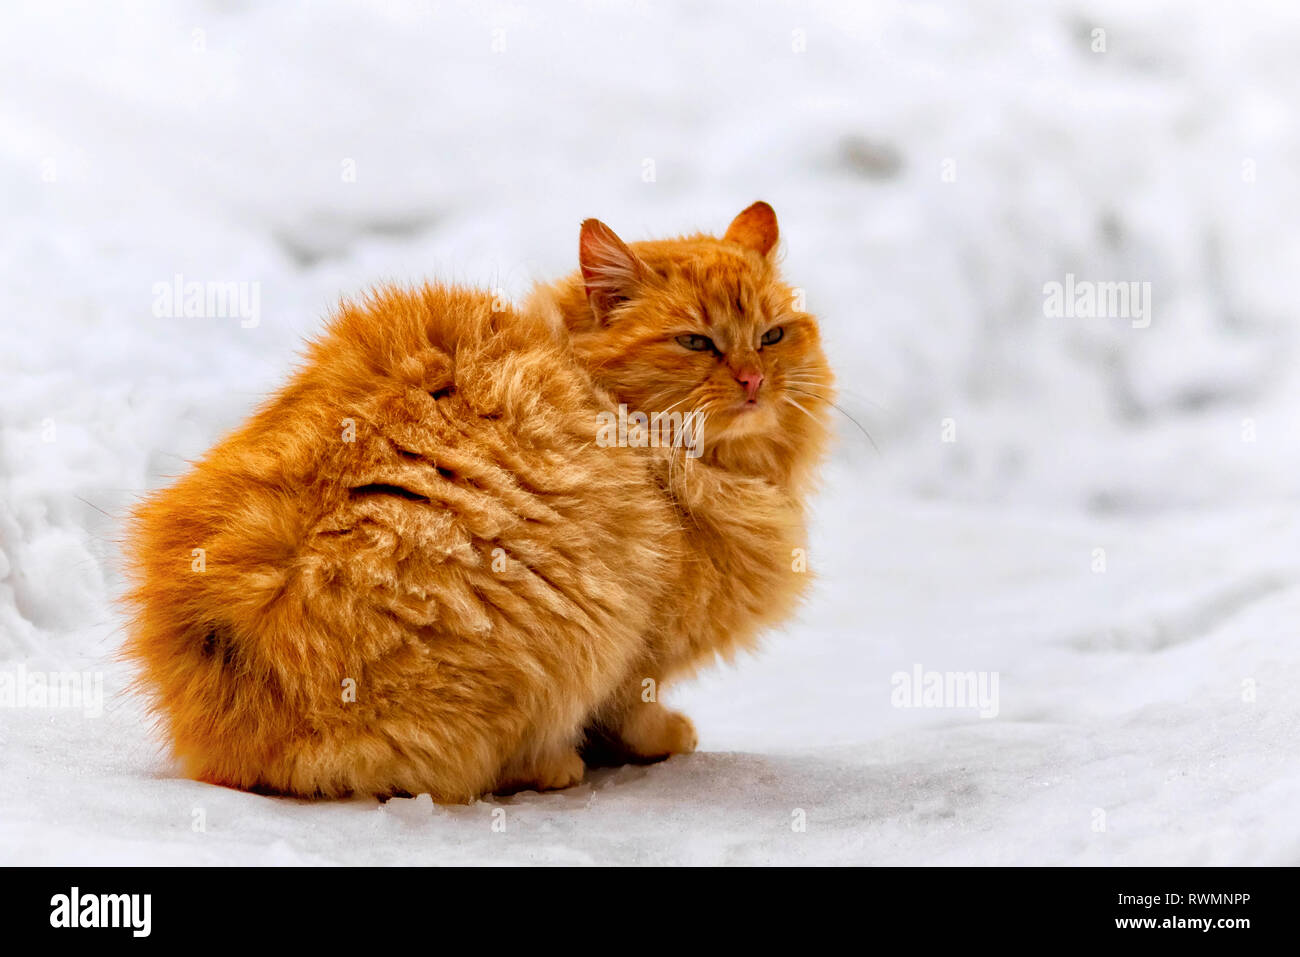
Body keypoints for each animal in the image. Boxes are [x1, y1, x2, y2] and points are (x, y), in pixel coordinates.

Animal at [122, 204, 832, 800]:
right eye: (695, 342)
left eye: (772, 336)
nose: (754, 380)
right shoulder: (640, 640)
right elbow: (632, 708)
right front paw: (659, 738)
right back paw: (556, 764)